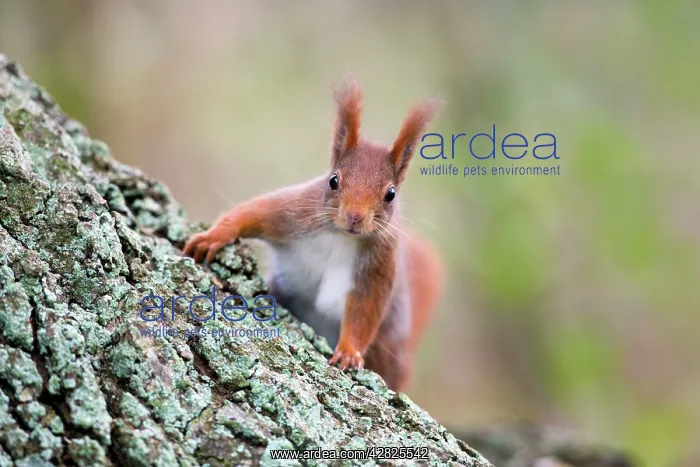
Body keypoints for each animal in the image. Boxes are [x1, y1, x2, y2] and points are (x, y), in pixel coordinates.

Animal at [183, 77, 444, 392]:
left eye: (390, 194)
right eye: (333, 180)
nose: (355, 217)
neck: (342, 236)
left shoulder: (379, 266)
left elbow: (365, 312)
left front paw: (349, 352)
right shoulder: (293, 212)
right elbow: (252, 213)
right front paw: (213, 237)